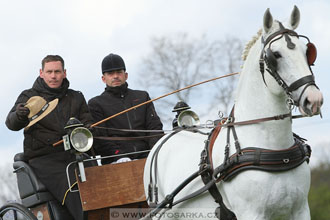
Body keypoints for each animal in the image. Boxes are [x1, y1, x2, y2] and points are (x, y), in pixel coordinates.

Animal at [144, 5, 322, 220]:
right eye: (276, 55)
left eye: (307, 52)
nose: (314, 99)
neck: (275, 150)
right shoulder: (251, 213)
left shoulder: (300, 210)